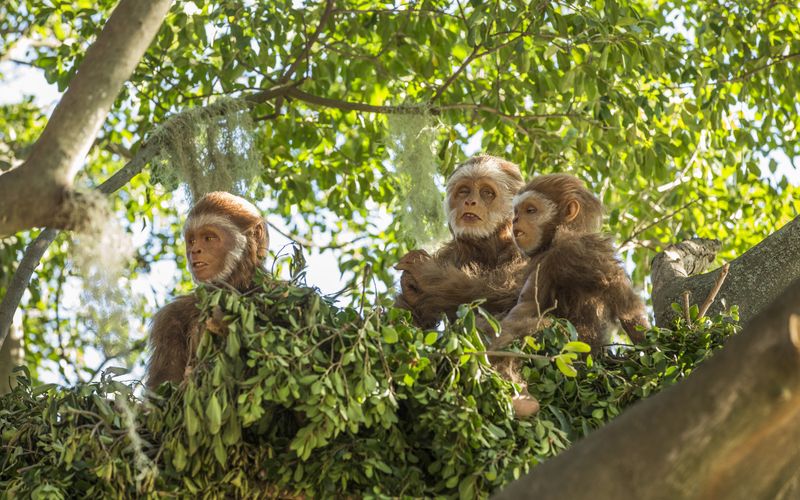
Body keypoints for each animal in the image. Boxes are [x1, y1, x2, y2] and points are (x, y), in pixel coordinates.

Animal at [396, 154, 532, 330]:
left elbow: (514, 288)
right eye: (464, 191)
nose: (470, 201)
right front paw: (410, 291)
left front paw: (424, 271)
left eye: (486, 192)